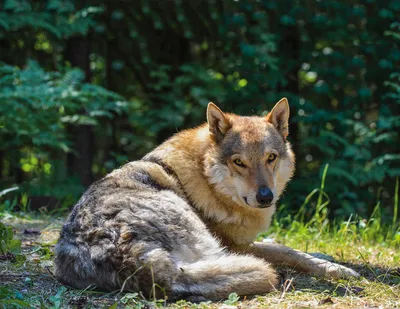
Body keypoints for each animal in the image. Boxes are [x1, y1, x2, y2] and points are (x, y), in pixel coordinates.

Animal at [54, 98, 360, 298]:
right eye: (239, 162)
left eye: (270, 158)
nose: (265, 197)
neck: (205, 177)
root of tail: (133, 257)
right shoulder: (237, 243)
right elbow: (286, 250)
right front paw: (337, 269)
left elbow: (290, 245)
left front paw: (330, 257)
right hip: (204, 237)